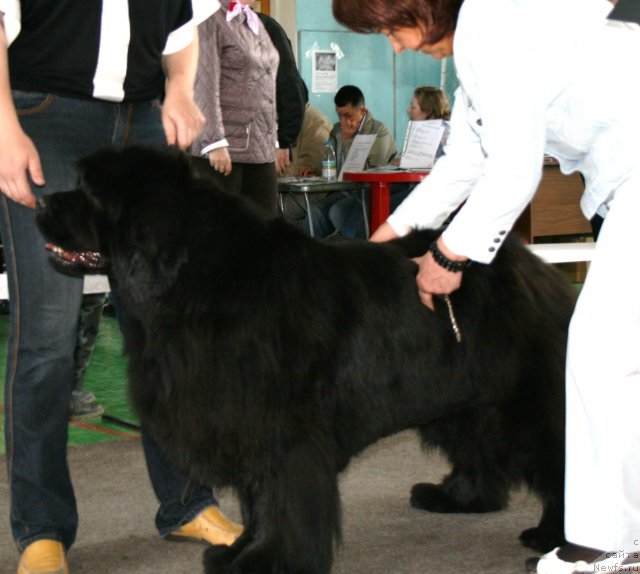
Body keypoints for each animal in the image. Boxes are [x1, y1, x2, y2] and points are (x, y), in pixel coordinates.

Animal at [37, 145, 572, 574]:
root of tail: (537, 269)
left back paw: (557, 540)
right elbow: (255, 504)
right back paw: (457, 497)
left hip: (523, 403)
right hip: (463, 398)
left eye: (88, 191)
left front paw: (266, 560)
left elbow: (278, 504)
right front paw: (237, 552)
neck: (199, 279)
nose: (40, 200)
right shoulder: (244, 425)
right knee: (479, 450)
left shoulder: (283, 433)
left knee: (560, 460)